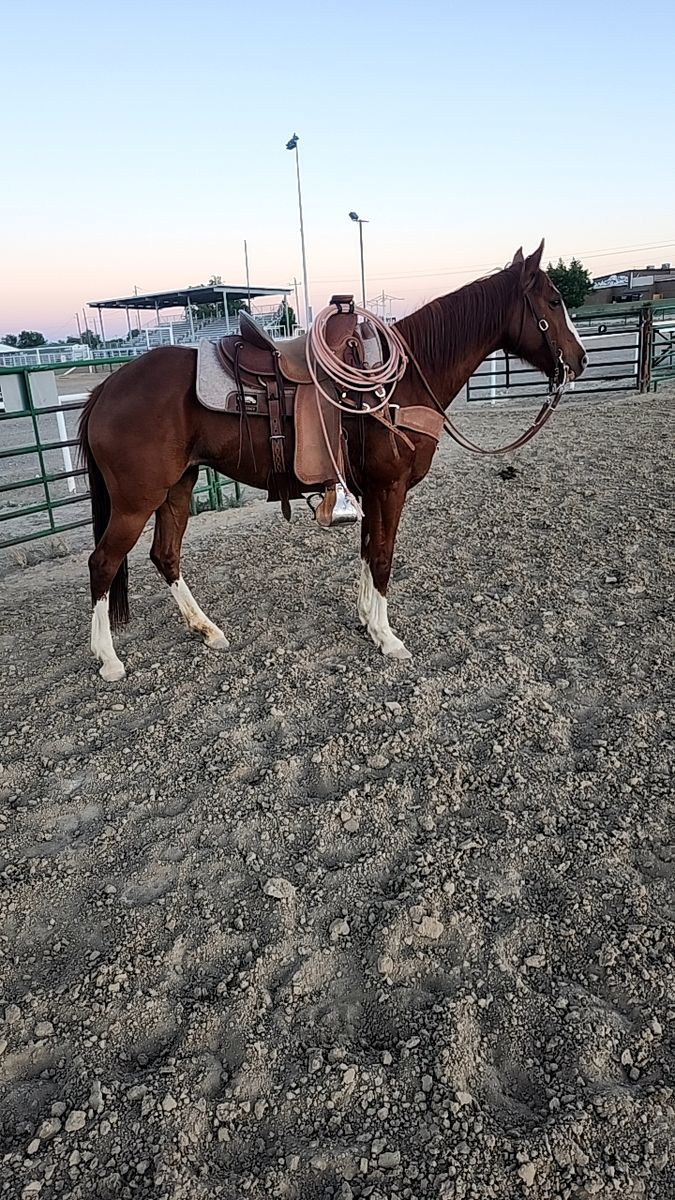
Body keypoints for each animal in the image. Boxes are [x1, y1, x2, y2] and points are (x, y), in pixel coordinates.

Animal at [78, 241, 586, 681]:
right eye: (554, 300)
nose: (579, 361)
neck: (400, 384)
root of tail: (106, 387)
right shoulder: (389, 487)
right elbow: (382, 555)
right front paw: (388, 637)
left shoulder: (367, 489)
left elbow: (367, 550)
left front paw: (366, 620)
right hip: (136, 502)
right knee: (102, 562)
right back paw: (108, 660)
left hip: (178, 488)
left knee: (166, 555)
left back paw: (208, 631)